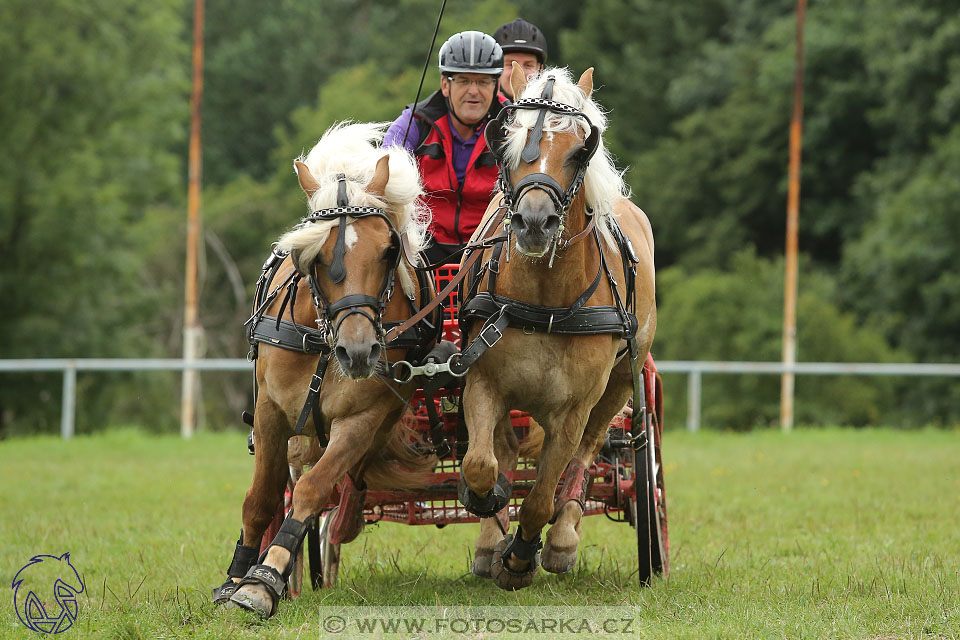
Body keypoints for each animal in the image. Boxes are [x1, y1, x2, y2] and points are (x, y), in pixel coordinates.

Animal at [214, 122, 438, 616]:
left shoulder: (361, 420)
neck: (323, 343)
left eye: (388, 251)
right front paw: (237, 577)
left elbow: (313, 490)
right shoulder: (271, 412)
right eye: (314, 257)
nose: (359, 353)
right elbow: (261, 499)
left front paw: (265, 579)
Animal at [456, 65, 652, 592]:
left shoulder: (574, 409)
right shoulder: (482, 380)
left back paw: (562, 538)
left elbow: (543, 494)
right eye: (508, 143)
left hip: (619, 385)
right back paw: (490, 542)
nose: (534, 222)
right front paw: (488, 508)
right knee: (503, 450)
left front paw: (521, 558)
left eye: (579, 149)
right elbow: (481, 464)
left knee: (585, 457)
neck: (546, 302)